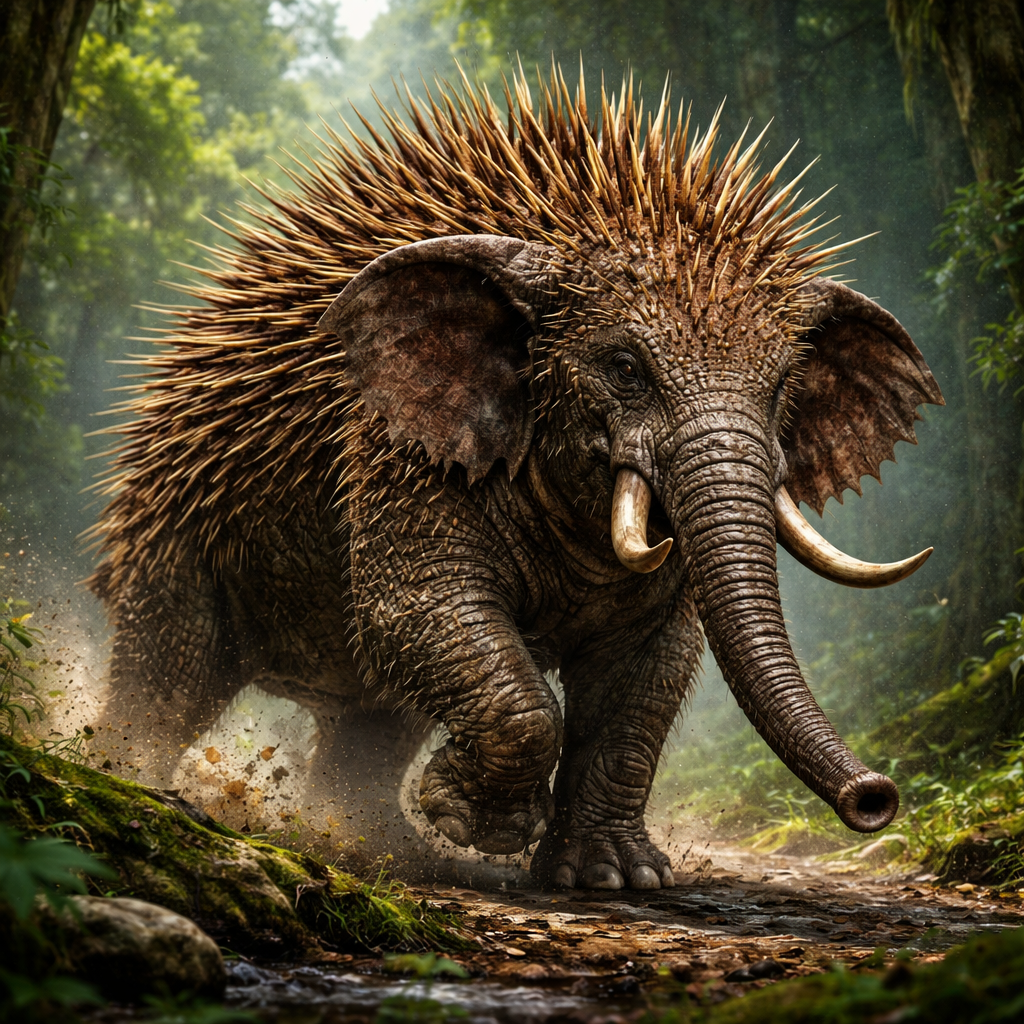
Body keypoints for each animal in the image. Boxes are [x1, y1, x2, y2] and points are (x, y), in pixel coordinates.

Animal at [88, 77, 944, 890]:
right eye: (624, 368)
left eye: (782, 388)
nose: (877, 798)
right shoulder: (397, 448)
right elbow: (420, 610)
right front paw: (476, 822)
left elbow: (648, 670)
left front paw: (611, 876)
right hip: (176, 515)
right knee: (171, 663)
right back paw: (131, 780)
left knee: (373, 712)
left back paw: (378, 846)